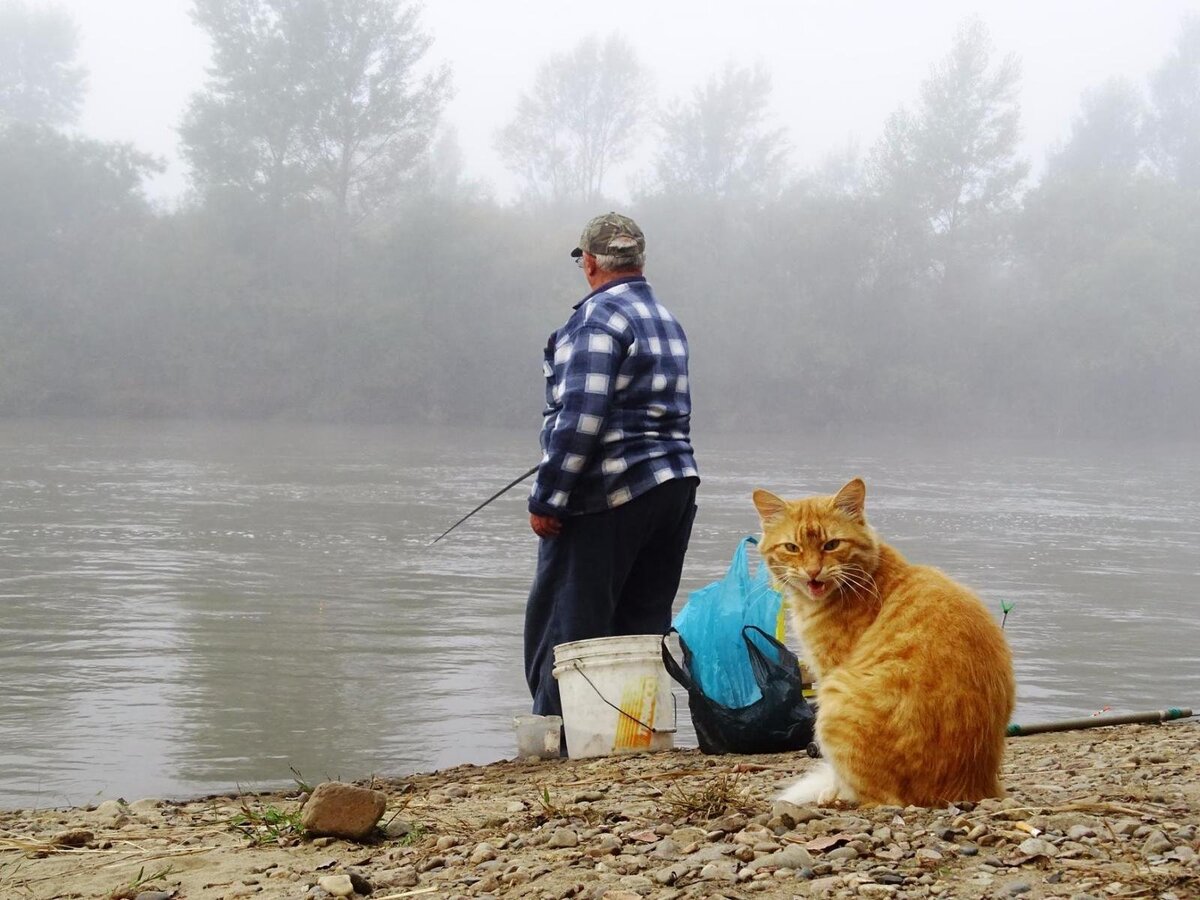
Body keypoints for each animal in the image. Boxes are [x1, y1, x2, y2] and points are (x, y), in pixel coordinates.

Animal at [758, 480, 1012, 811]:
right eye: (792, 548)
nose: (813, 572)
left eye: (831, 545)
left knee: (879, 798)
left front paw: (833, 791)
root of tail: (971, 787)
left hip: (834, 697)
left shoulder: (828, 671)